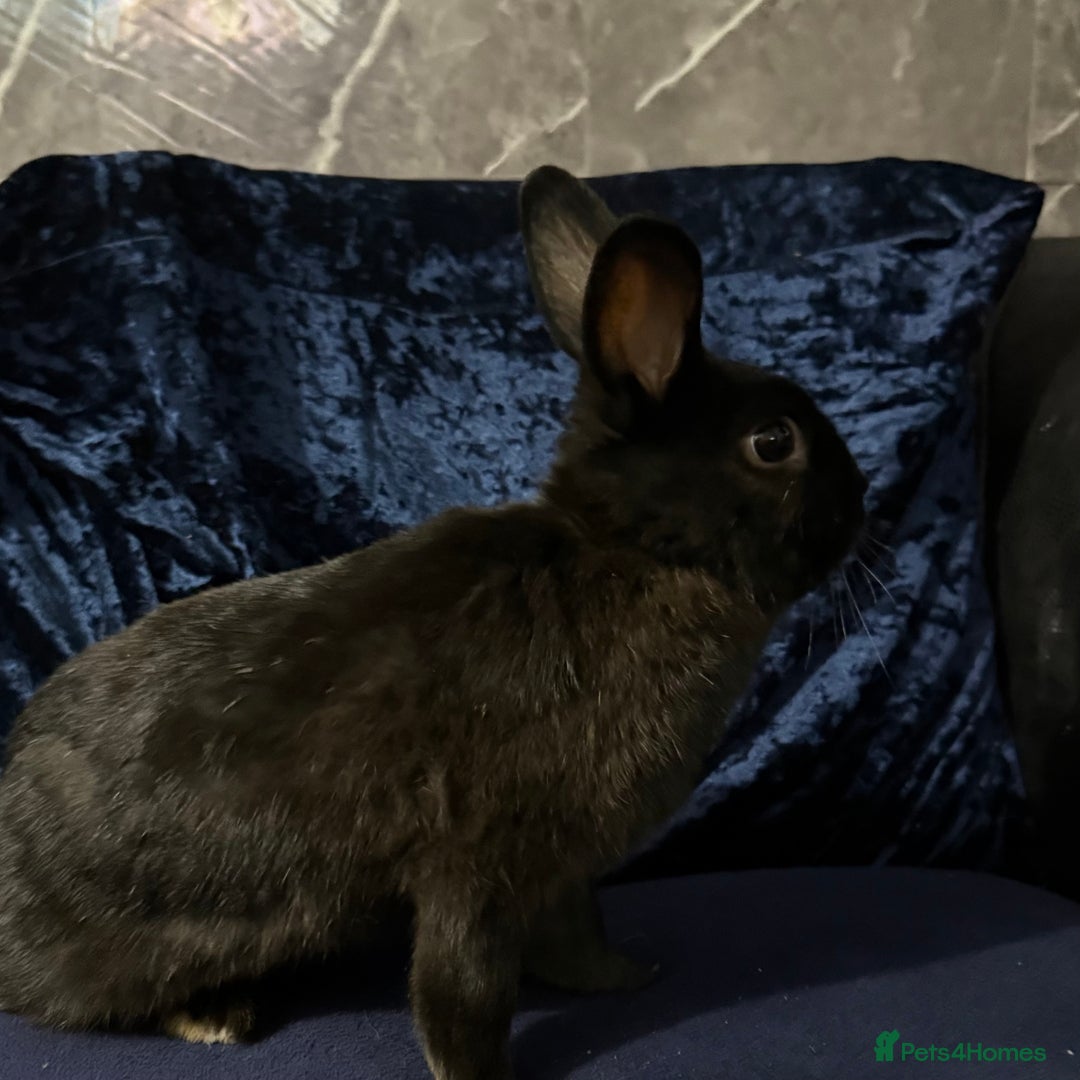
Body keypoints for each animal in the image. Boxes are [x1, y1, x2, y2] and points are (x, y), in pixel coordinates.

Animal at [0, 164, 866, 1080]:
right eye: (773, 442)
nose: (862, 502)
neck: (634, 551)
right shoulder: (474, 863)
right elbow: (464, 988)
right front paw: (482, 1074)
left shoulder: (558, 866)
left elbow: (573, 931)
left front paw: (624, 978)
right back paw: (214, 1017)